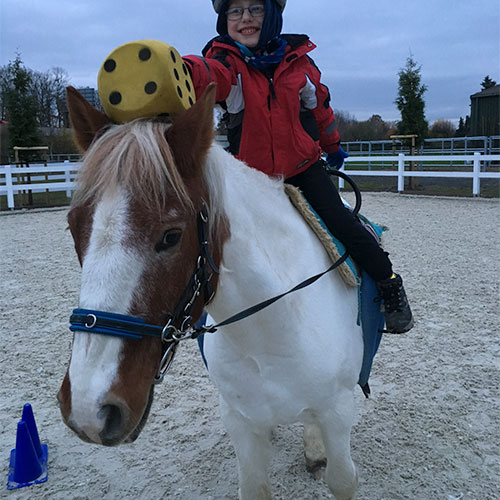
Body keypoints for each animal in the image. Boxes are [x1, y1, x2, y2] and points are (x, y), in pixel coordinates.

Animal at [58, 84, 364, 498]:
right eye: (74, 227)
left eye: (171, 236)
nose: (90, 409)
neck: (273, 332)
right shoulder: (240, 420)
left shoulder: (338, 412)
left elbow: (342, 479)